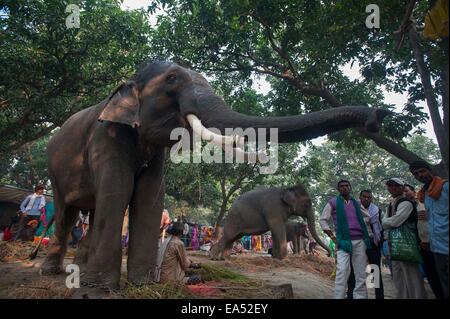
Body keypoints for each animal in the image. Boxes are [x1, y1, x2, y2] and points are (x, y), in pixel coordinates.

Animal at [40, 60, 388, 290]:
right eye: (171, 79)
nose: (377, 116)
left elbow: (149, 199)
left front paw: (143, 285)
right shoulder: (106, 138)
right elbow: (118, 192)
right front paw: (101, 289)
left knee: (90, 211)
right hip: (54, 169)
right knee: (67, 212)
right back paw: (53, 272)